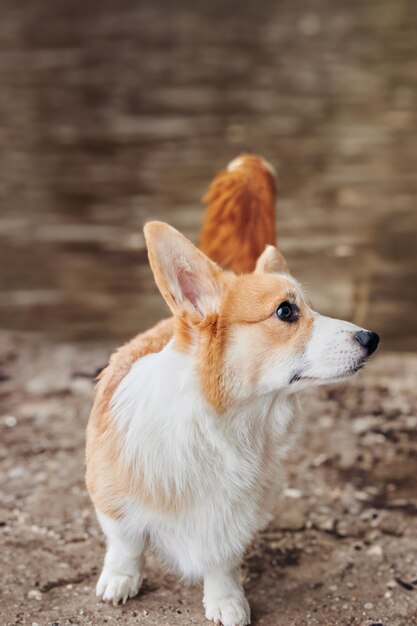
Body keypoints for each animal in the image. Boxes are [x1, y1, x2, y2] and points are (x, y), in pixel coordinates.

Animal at [84, 152, 376, 624]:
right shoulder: (111, 496)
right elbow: (126, 542)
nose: (373, 338)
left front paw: (226, 601)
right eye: (286, 312)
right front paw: (121, 578)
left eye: (308, 307)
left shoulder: (236, 517)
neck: (225, 423)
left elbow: (221, 560)